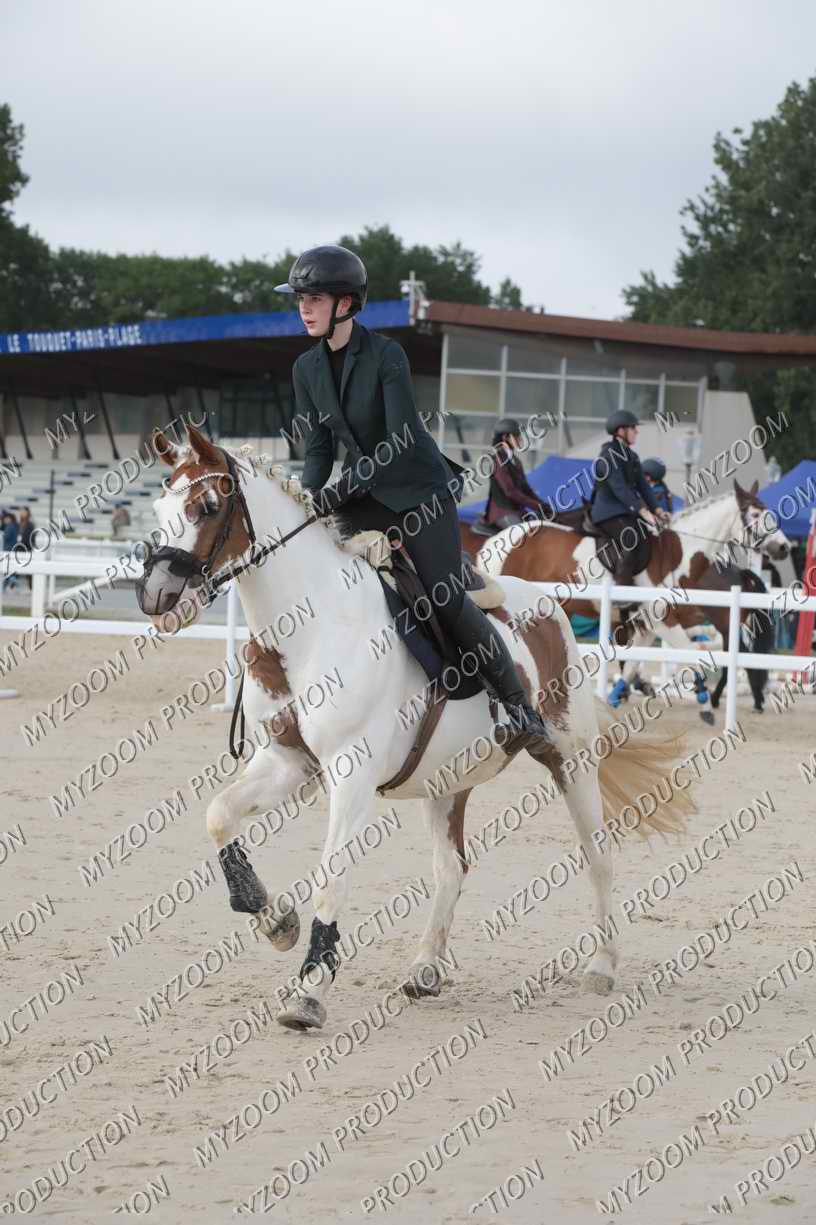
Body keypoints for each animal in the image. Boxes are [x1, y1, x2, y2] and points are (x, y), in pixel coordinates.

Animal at [136, 424, 694, 1032]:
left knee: (598, 856)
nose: (158, 598)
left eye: (207, 507)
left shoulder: (350, 774)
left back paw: (602, 966)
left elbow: (332, 877)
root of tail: (546, 604)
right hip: (446, 778)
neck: (309, 627)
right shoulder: (288, 761)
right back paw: (426, 967)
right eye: (159, 507)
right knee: (451, 867)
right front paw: (272, 918)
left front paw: (309, 992)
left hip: (571, 760)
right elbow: (219, 816)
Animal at [472, 481, 790, 717]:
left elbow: (636, 661)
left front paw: (617, 695)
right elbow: (692, 656)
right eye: (755, 515)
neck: (676, 555)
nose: (784, 548)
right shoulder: (662, 621)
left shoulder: (647, 623)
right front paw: (701, 699)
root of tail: (496, 541)